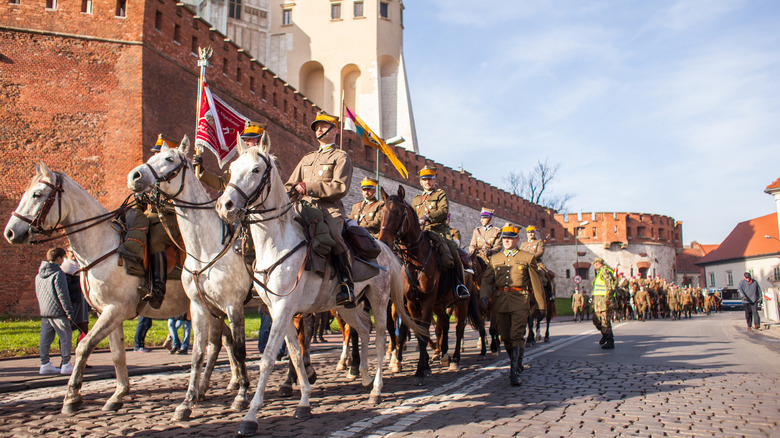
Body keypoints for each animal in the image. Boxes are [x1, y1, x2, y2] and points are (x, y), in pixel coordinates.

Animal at [4, 163, 239, 414]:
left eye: (37, 194)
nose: (10, 232)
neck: (104, 245)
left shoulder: (115, 310)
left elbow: (84, 346)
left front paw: (72, 396)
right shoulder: (106, 312)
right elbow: (117, 355)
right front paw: (118, 394)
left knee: (220, 340)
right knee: (224, 340)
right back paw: (227, 382)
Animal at [126, 137, 251, 420]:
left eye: (170, 159)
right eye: (151, 158)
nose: (134, 176)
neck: (205, 248)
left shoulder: (234, 305)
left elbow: (240, 348)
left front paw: (241, 396)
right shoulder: (200, 307)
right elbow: (198, 353)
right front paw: (187, 401)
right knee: (217, 344)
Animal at [213, 135, 420, 436]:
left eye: (255, 170)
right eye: (231, 169)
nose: (225, 205)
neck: (277, 243)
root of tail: (382, 245)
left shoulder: (285, 308)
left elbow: (267, 359)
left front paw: (251, 416)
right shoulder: (279, 311)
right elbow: (296, 355)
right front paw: (304, 402)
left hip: (380, 301)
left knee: (382, 338)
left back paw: (377, 389)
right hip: (345, 306)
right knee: (363, 329)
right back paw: (364, 377)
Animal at [378, 186, 470, 384]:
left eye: (397, 213)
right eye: (381, 213)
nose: (383, 242)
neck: (416, 261)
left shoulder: (426, 301)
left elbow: (423, 329)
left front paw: (422, 367)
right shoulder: (411, 303)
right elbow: (417, 331)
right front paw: (420, 363)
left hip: (462, 302)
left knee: (458, 328)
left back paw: (455, 359)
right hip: (439, 304)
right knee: (443, 323)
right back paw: (443, 355)